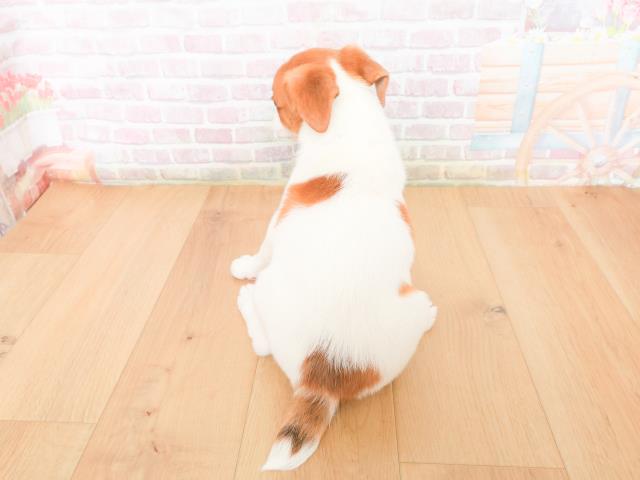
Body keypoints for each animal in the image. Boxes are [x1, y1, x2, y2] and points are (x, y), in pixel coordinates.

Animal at [230, 45, 437, 471]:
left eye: (276, 104)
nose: (269, 119)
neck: (348, 120)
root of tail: (324, 375)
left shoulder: (280, 215)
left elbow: (261, 250)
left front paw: (243, 266)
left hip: (272, 286)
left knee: (262, 345)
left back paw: (246, 299)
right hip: (409, 302)